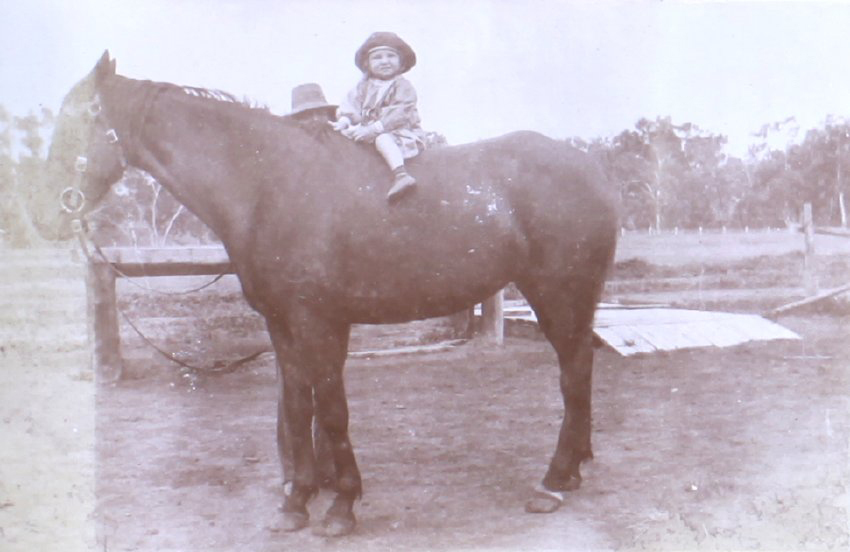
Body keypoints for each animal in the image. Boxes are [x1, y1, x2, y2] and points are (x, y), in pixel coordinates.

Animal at [34, 52, 618, 537]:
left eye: (81, 118)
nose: (43, 214)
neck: (269, 183)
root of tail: (591, 169)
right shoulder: (283, 325)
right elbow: (298, 407)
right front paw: (296, 503)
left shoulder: (318, 322)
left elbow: (332, 410)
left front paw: (341, 508)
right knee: (581, 369)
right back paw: (574, 470)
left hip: (558, 295)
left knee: (573, 373)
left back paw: (554, 482)